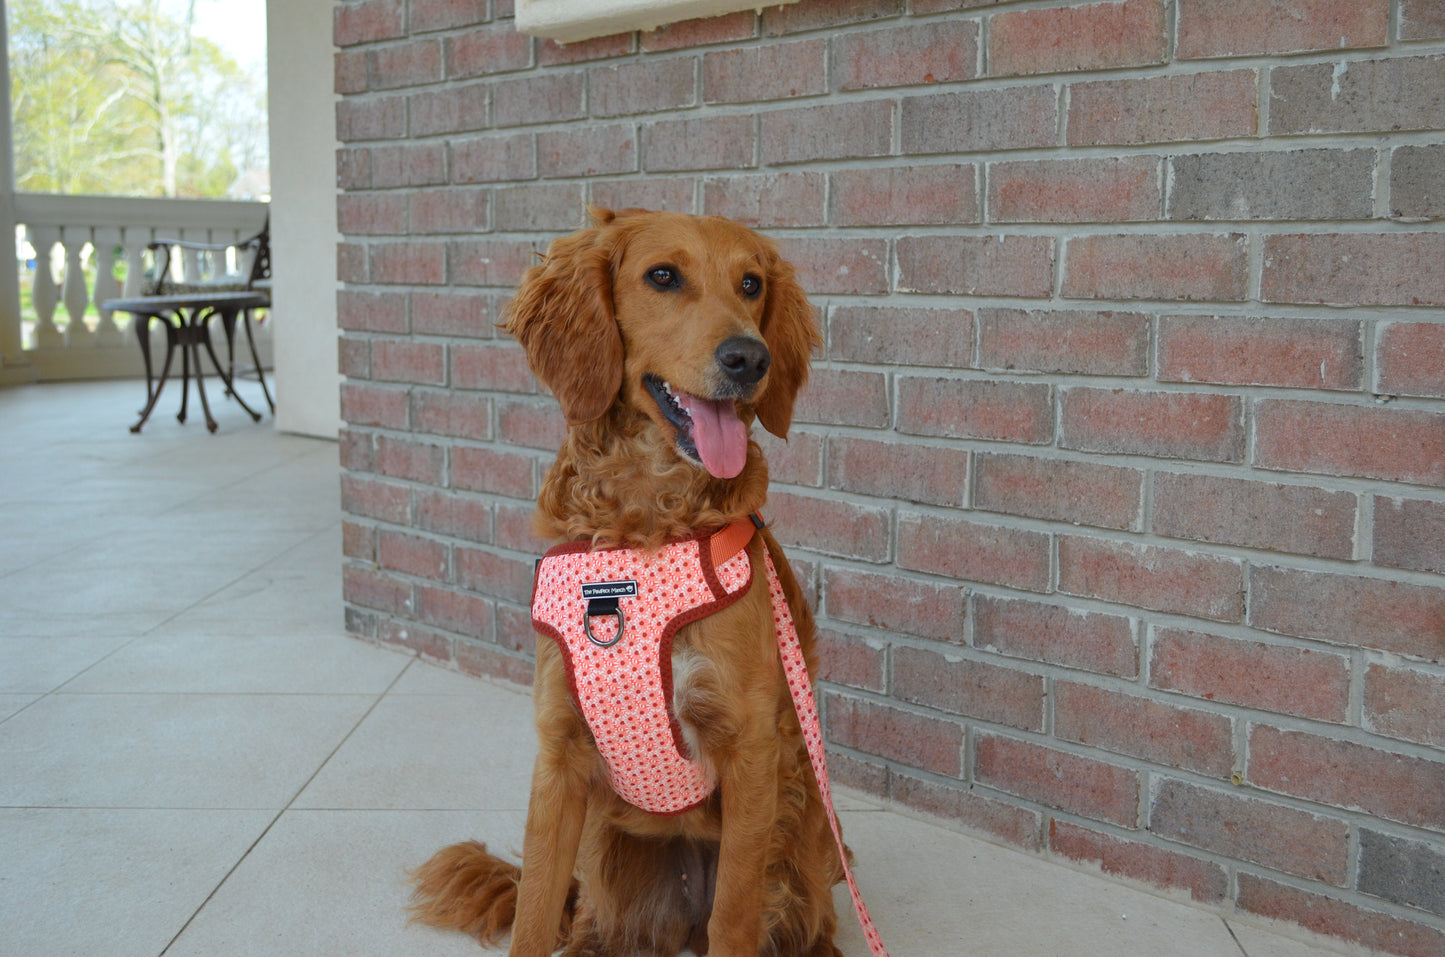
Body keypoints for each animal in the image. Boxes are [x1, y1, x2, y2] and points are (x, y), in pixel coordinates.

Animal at [407, 212, 849, 957]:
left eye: (751, 284)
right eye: (662, 276)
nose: (749, 359)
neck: (643, 533)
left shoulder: (751, 751)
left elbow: (734, 917)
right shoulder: (559, 752)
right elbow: (533, 912)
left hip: (798, 842)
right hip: (608, 847)